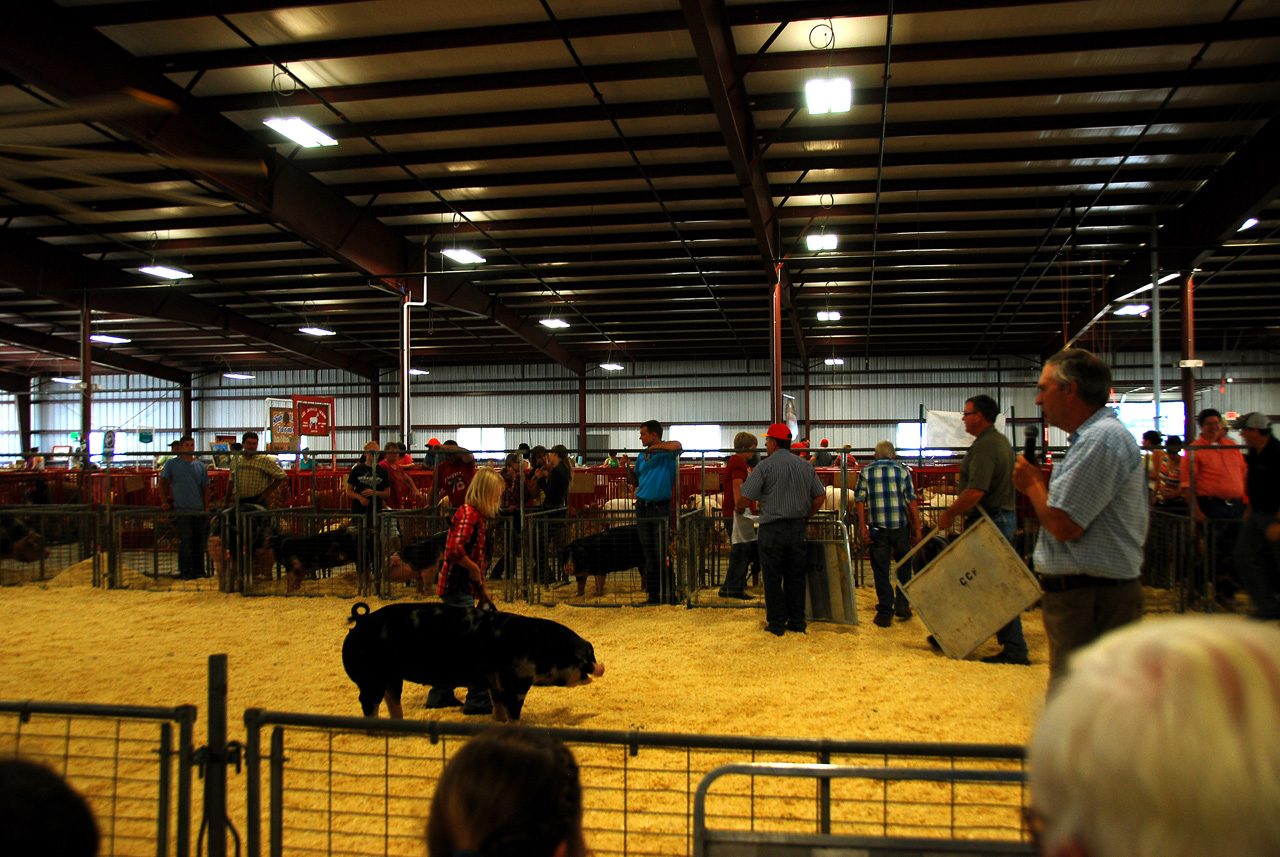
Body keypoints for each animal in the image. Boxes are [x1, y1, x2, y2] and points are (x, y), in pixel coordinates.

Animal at [345, 603, 604, 726]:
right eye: (586, 658)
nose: (601, 666)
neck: (539, 649)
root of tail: (359, 623)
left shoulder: (495, 682)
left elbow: (496, 702)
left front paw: (497, 720)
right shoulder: (514, 682)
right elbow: (513, 710)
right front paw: (515, 725)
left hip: (391, 676)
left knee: (392, 698)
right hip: (370, 677)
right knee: (369, 702)